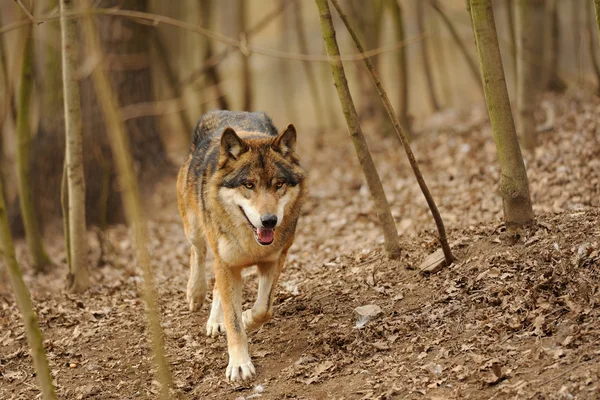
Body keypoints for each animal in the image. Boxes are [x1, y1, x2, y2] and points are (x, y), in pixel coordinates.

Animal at [173, 109, 304, 382]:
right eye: (249, 185)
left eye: (278, 185)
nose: (269, 220)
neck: (252, 243)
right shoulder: (226, 263)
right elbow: (233, 321)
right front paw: (240, 365)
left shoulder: (274, 260)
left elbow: (263, 309)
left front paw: (246, 318)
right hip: (195, 230)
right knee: (197, 253)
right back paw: (195, 294)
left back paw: (215, 320)